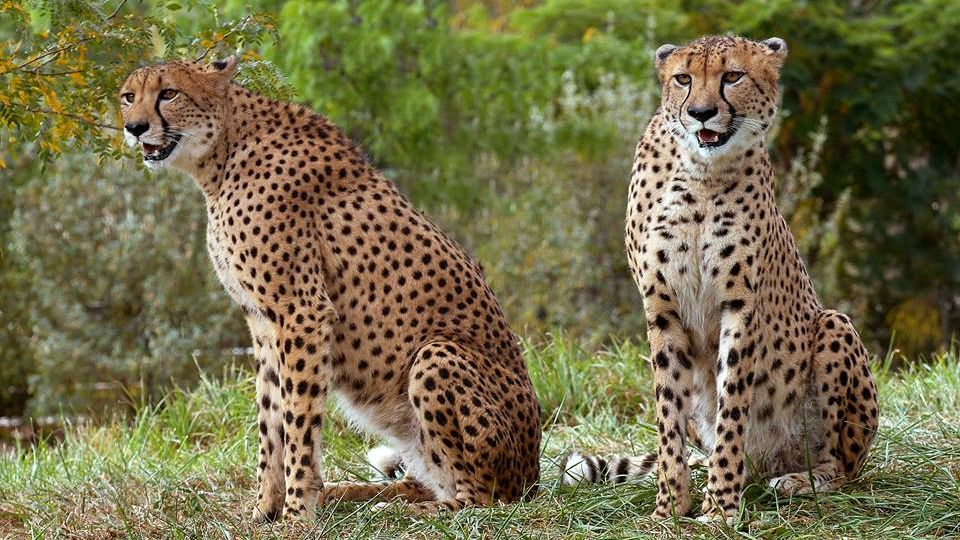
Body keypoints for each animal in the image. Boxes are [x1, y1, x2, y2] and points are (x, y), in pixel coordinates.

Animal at [118, 56, 541, 522]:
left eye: (168, 93)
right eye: (128, 96)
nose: (134, 127)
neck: (222, 154)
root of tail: (533, 475)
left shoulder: (301, 311)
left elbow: (298, 421)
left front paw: (295, 512)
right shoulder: (263, 322)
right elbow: (270, 417)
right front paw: (265, 508)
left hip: (437, 355)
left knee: (478, 499)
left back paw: (400, 512)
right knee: (421, 482)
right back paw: (352, 494)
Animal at [560, 35, 879, 522]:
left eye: (732, 76)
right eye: (683, 78)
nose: (701, 113)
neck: (700, 173)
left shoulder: (739, 306)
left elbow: (733, 404)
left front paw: (721, 507)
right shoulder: (662, 309)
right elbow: (668, 414)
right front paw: (670, 506)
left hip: (834, 324)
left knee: (841, 464)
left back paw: (799, 480)